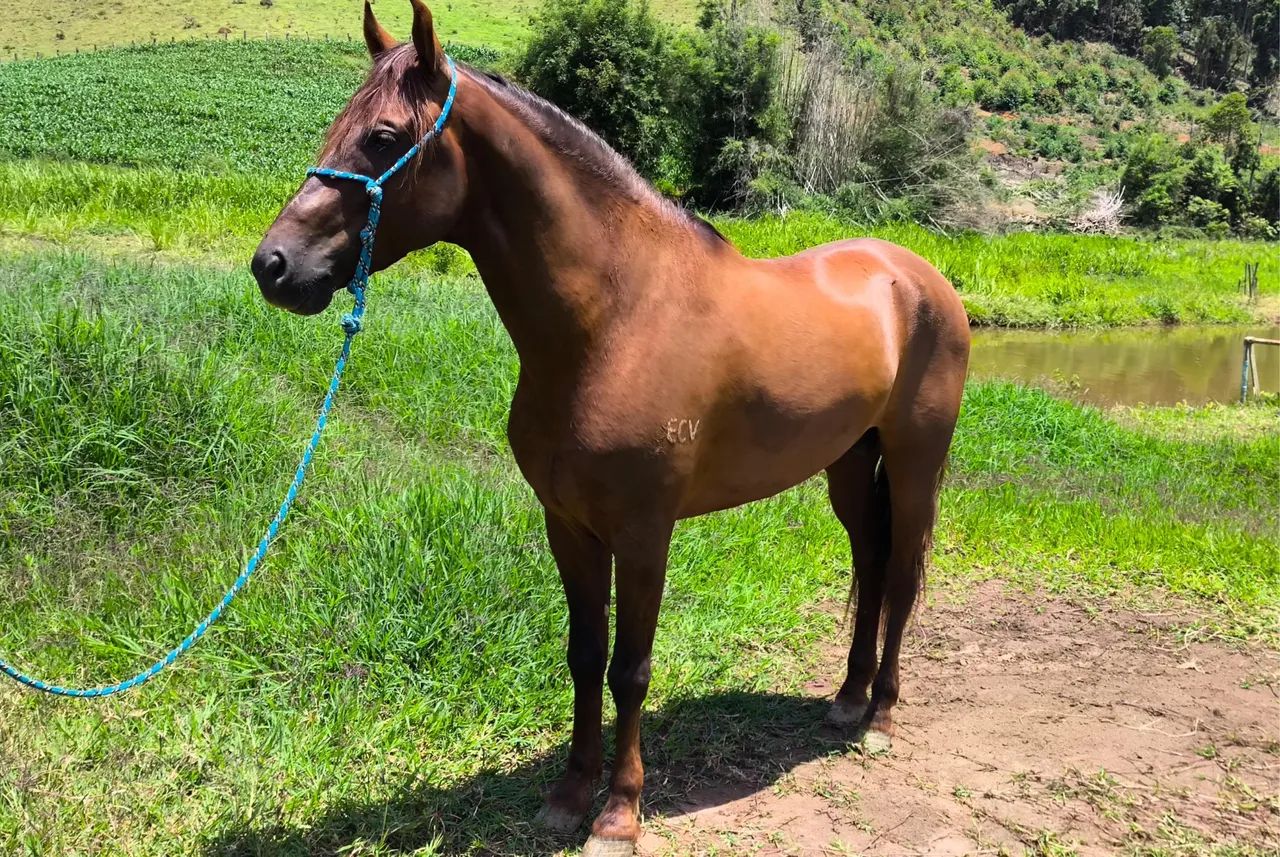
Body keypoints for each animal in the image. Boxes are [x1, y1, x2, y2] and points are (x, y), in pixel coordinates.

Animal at [252, 2, 970, 852]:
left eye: (385, 136)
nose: (274, 265)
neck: (616, 317)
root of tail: (918, 277)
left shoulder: (644, 529)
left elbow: (631, 667)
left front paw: (619, 812)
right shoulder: (569, 524)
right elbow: (583, 653)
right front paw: (569, 794)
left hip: (916, 462)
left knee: (899, 576)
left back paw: (880, 715)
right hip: (851, 466)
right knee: (870, 559)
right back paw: (848, 698)